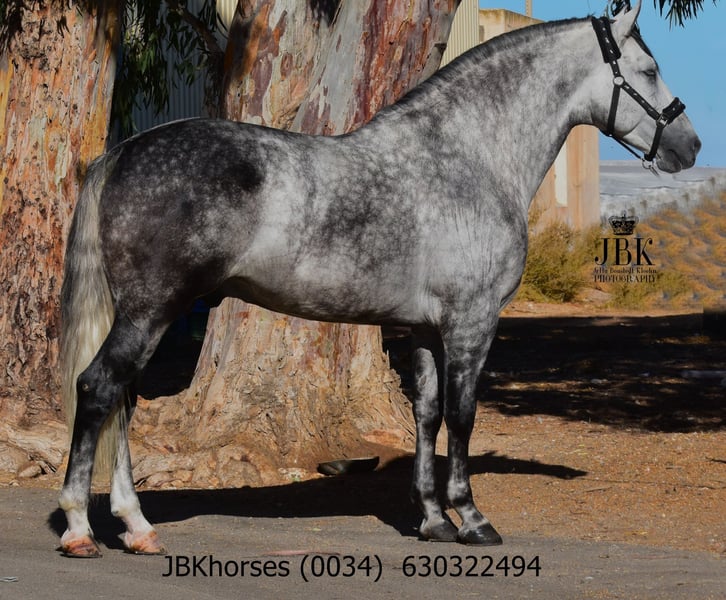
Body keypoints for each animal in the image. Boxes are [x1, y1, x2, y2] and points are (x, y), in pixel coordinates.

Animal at [58, 1, 700, 557]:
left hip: (149, 314)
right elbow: (463, 415)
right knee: (99, 388)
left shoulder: (423, 328)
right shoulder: (472, 322)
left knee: (124, 400)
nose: (690, 145)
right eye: (648, 70)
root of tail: (125, 151)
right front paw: (473, 520)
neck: (466, 158)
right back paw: (80, 529)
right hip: (152, 310)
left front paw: (434, 521)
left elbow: (428, 414)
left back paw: (137, 527)